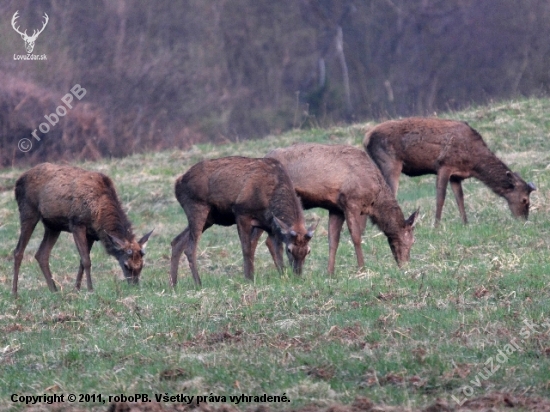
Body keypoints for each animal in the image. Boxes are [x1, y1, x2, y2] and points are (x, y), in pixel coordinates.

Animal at [12, 163, 153, 294]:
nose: (135, 286)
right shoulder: (76, 224)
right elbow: (86, 260)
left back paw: (54, 290)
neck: (98, 212)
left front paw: (77, 289)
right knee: (18, 251)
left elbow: (82, 261)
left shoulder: (91, 234)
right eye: (126, 265)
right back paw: (15, 293)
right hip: (28, 211)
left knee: (41, 254)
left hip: (52, 226)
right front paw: (90, 289)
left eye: (142, 265)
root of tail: (18, 181)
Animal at [170, 154, 316, 286]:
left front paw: (283, 277)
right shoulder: (241, 212)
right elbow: (247, 248)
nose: (298, 274)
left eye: (308, 251)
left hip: (209, 218)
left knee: (177, 241)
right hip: (197, 208)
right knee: (190, 249)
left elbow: (276, 251)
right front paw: (249, 278)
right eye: (289, 249)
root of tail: (177, 183)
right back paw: (198, 283)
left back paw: (173, 284)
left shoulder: (270, 226)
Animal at [266, 143, 418, 276]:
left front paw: (330, 272)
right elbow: (356, 237)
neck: (374, 200)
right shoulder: (351, 202)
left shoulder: (336, 209)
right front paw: (362, 268)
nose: (405, 265)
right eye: (411, 240)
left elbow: (333, 241)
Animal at [364, 117, 536, 224]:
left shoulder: (457, 175)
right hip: (390, 163)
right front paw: (436, 225)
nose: (524, 220)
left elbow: (460, 198)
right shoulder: (444, 165)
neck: (473, 162)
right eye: (524, 200)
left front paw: (466, 223)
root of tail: (366, 138)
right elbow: (441, 197)